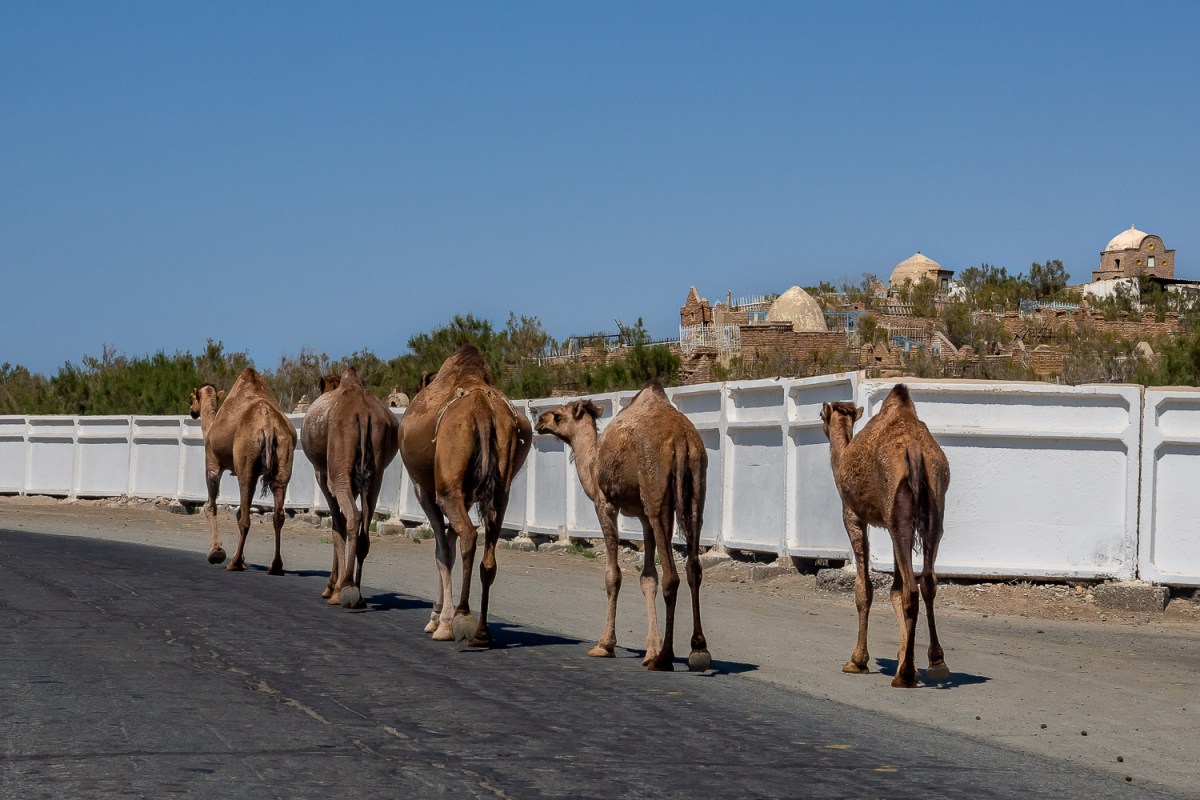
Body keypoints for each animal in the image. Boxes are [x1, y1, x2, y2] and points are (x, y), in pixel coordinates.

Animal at [188, 367, 297, 574]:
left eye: (191, 397)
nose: (191, 411)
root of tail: (268, 425)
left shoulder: (212, 464)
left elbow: (210, 506)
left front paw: (216, 552)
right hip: (284, 460)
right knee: (277, 514)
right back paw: (275, 566)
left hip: (246, 466)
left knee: (245, 518)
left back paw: (235, 562)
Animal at [300, 367, 398, 608]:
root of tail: (363, 414)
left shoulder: (323, 475)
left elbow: (337, 525)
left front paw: (330, 587)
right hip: (375, 474)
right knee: (364, 522)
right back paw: (357, 592)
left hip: (339, 473)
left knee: (352, 517)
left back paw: (344, 589)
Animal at [397, 345, 532, 645]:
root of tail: (482, 409)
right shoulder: (468, 493)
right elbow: (449, 540)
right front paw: (439, 618)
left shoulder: (424, 489)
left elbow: (442, 550)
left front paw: (439, 621)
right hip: (499, 490)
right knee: (488, 552)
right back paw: (482, 632)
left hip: (446, 490)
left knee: (468, 535)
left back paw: (460, 617)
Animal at [535, 381, 711, 672]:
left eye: (558, 416)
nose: (539, 420)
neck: (592, 466)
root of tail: (681, 439)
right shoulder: (642, 516)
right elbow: (647, 577)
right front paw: (650, 649)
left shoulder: (605, 504)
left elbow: (613, 575)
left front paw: (605, 644)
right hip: (696, 489)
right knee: (693, 568)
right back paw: (698, 651)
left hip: (656, 493)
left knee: (671, 576)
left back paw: (665, 658)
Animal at [820, 384, 951, 687]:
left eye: (822, 416)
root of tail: (915, 450)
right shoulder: (891, 524)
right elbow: (893, 589)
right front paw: (905, 660)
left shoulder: (853, 515)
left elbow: (864, 589)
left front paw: (858, 661)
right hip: (932, 510)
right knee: (927, 582)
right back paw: (935, 663)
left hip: (899, 513)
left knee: (911, 588)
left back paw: (904, 675)